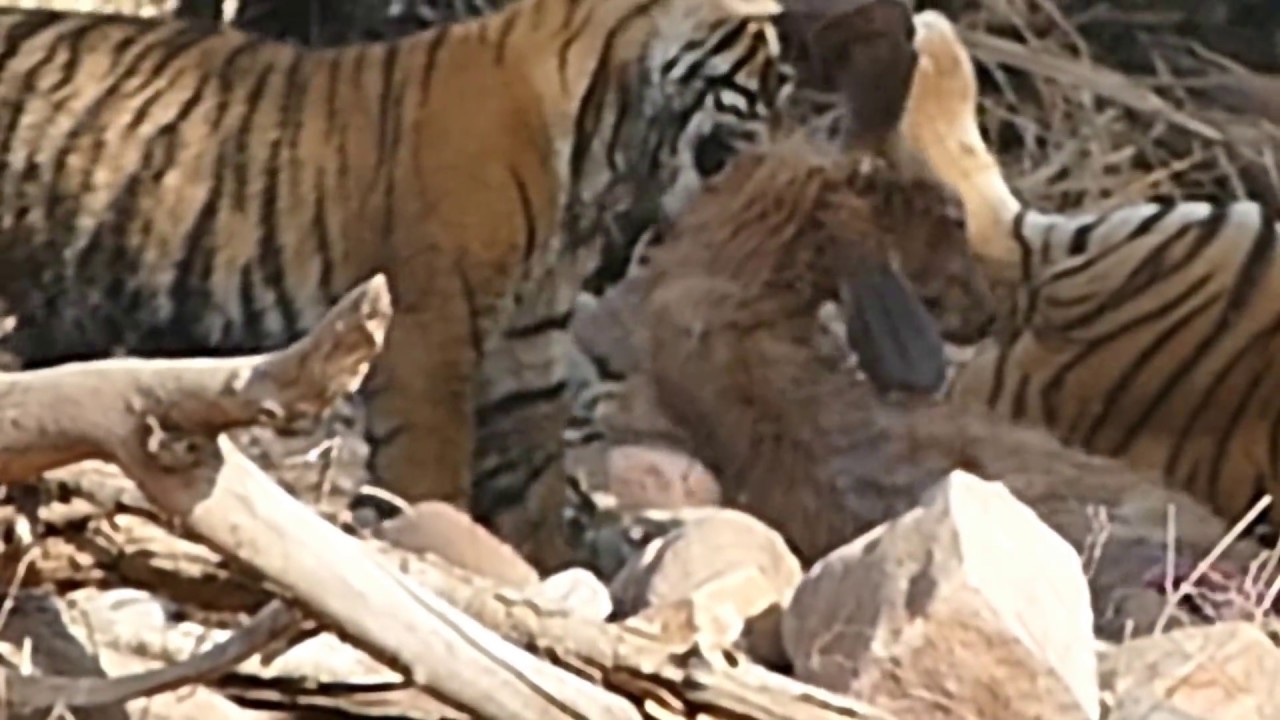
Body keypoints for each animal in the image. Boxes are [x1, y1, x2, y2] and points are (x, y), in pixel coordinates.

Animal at [0, 0, 795, 570]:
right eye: (762, 83)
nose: (791, 142)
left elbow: (533, 475)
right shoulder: (429, 330)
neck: (606, 151)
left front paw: (547, 568)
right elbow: (432, 464)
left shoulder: (525, 349)